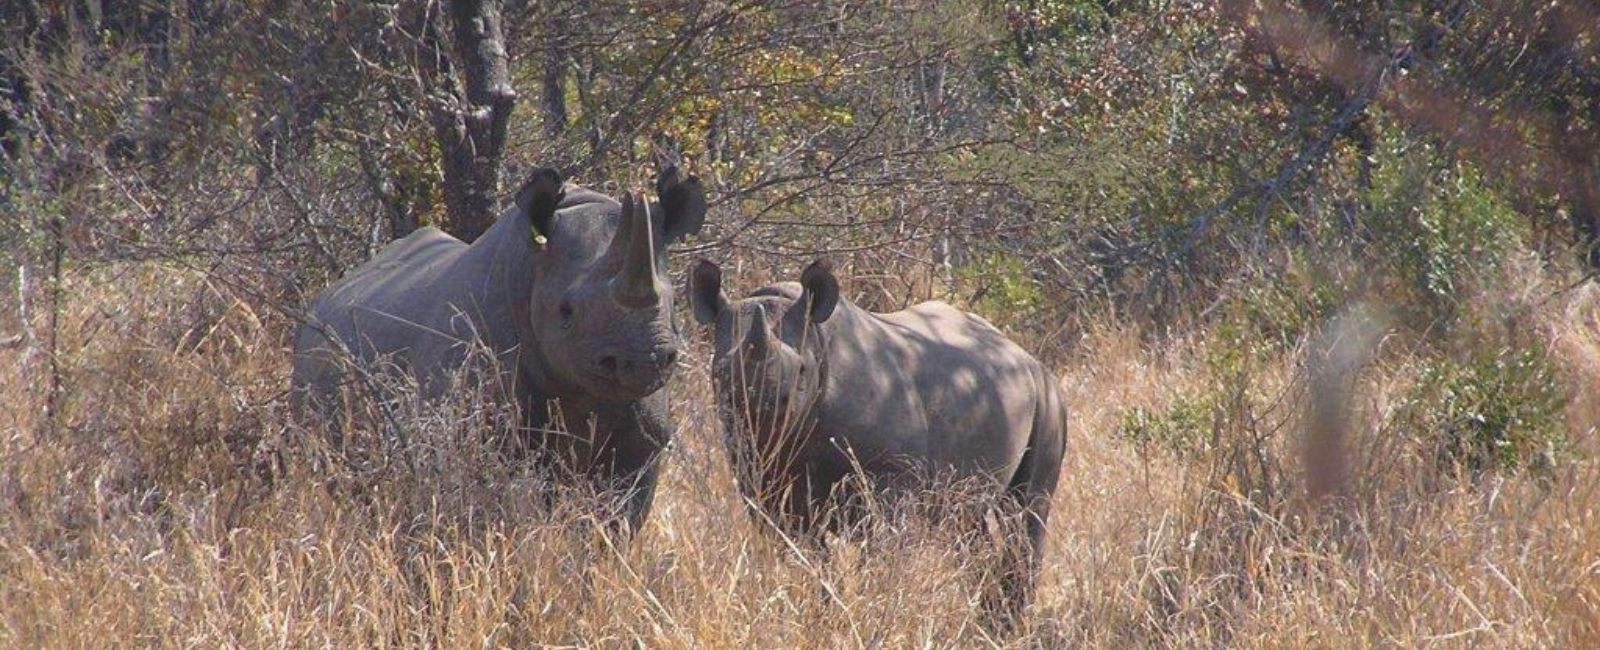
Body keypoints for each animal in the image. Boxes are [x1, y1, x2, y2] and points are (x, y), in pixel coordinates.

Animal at [694, 257, 1068, 617]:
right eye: (719, 372)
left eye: (802, 370)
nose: (762, 409)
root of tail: (1023, 355)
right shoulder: (759, 479)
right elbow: (801, 555)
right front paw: (821, 613)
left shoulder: (891, 477)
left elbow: (880, 549)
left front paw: (872, 607)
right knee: (967, 523)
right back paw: (988, 623)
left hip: (1048, 397)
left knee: (1027, 512)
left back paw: (1009, 623)